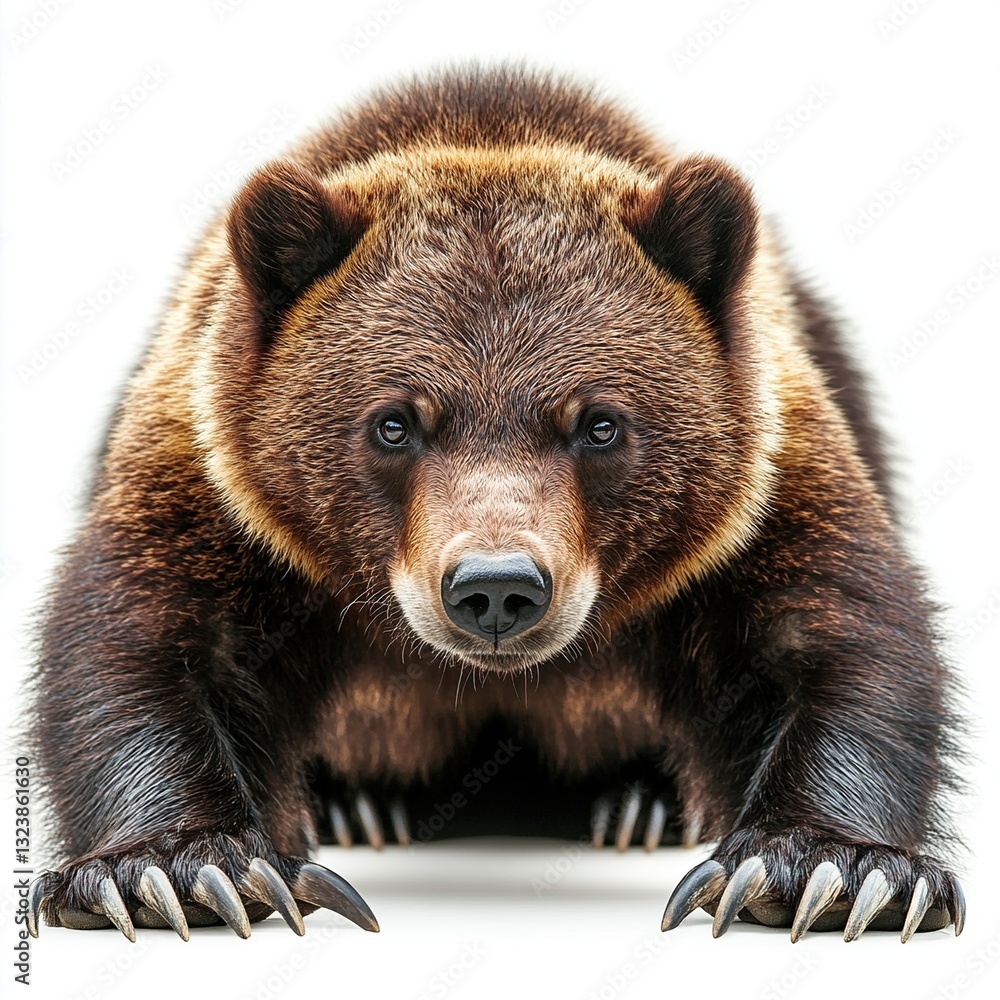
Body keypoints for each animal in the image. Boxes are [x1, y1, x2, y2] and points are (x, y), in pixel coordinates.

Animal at [28, 64, 964, 944]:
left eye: (600, 423)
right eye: (394, 422)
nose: (497, 588)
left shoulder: (757, 494)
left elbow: (834, 639)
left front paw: (826, 870)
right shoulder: (222, 490)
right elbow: (146, 640)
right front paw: (181, 871)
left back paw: (639, 802)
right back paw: (361, 803)